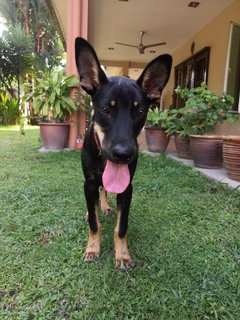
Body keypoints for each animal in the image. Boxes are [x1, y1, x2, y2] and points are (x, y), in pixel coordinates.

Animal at [76, 36, 172, 268]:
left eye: (140, 111)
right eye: (105, 109)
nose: (123, 154)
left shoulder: (127, 188)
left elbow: (121, 227)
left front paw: (122, 255)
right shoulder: (88, 182)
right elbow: (94, 223)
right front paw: (92, 249)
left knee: (104, 189)